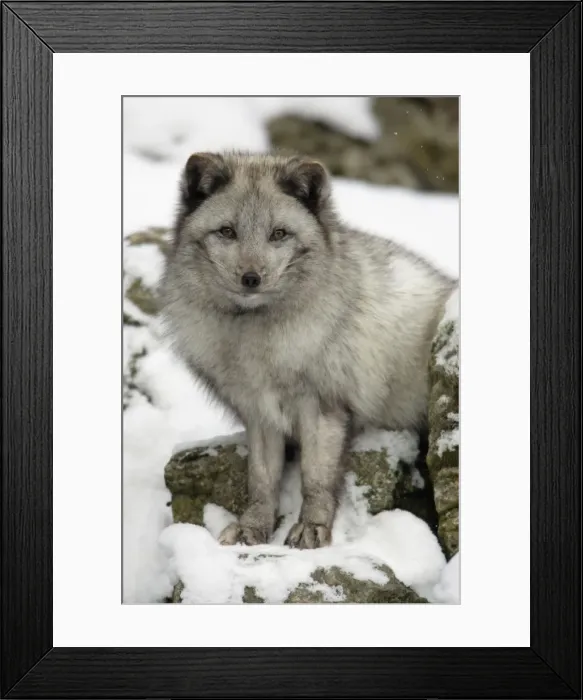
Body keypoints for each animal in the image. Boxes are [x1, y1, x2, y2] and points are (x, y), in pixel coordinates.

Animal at [161, 151, 456, 549]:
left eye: (278, 234)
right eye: (227, 232)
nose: (251, 278)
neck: (255, 337)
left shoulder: (323, 405)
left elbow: (315, 477)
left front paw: (313, 527)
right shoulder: (259, 412)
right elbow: (261, 479)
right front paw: (253, 527)